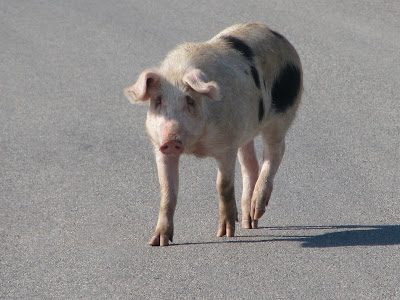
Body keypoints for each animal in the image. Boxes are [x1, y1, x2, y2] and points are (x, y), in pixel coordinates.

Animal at [125, 21, 304, 246]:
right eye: (158, 101)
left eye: (189, 100)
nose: (172, 140)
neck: (197, 145)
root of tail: (278, 36)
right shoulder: (159, 147)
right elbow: (167, 191)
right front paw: (158, 242)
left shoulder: (227, 145)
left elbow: (223, 185)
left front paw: (225, 233)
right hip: (246, 129)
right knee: (250, 164)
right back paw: (249, 222)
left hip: (282, 112)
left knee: (275, 152)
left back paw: (256, 210)